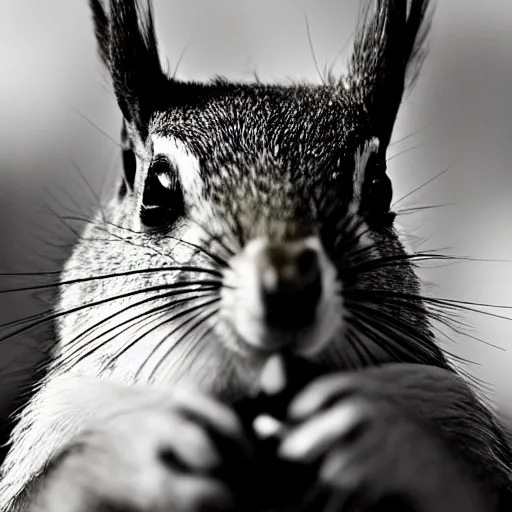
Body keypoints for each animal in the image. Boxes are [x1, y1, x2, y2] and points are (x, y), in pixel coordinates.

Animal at [1, 0, 512, 510]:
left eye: (378, 189)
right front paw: (128, 449)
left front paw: (385, 437)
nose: (288, 287)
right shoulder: (65, 409)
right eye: (156, 191)